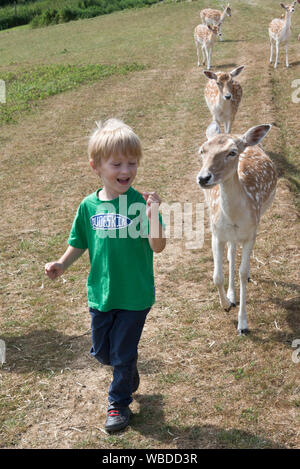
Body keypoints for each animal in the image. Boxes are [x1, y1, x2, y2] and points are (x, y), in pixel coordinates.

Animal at [197, 120, 276, 332]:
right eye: (202, 150)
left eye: (232, 152)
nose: (203, 178)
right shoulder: (216, 233)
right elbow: (217, 276)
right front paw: (226, 304)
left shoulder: (251, 232)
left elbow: (243, 272)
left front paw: (243, 324)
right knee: (231, 252)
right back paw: (231, 296)